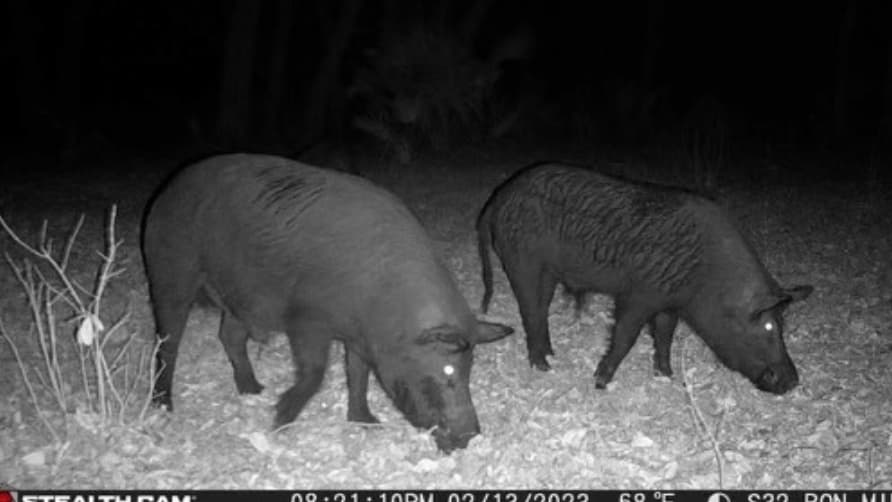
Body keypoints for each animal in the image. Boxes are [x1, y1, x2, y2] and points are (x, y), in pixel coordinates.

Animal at [142, 153, 513, 452]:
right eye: (444, 372)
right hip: (170, 273)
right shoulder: (305, 321)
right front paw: (279, 422)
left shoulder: (359, 338)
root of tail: (169, 189)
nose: (469, 436)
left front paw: (366, 422)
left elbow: (357, 375)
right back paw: (164, 406)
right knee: (167, 342)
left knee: (229, 335)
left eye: (468, 369)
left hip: (240, 298)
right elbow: (315, 372)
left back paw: (253, 390)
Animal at [477, 162, 812, 394]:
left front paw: (666, 376)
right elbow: (625, 336)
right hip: (522, 262)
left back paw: (550, 355)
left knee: (540, 310)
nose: (792, 381)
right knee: (529, 311)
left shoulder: (669, 305)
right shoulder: (638, 295)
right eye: (767, 326)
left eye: (781, 325)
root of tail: (500, 197)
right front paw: (600, 382)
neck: (706, 278)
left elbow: (664, 336)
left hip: (546, 272)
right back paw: (543, 367)